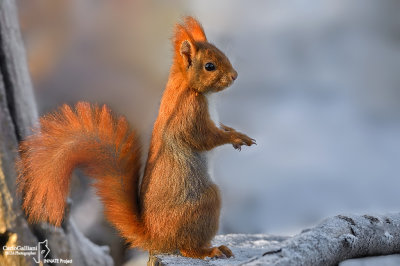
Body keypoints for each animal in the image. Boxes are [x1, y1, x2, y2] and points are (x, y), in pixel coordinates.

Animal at [16, 16, 256, 258]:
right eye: (209, 66)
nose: (234, 76)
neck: (189, 87)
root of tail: (155, 238)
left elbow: (221, 128)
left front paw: (238, 135)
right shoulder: (189, 114)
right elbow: (205, 137)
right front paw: (235, 139)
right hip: (206, 202)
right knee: (187, 248)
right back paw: (211, 250)